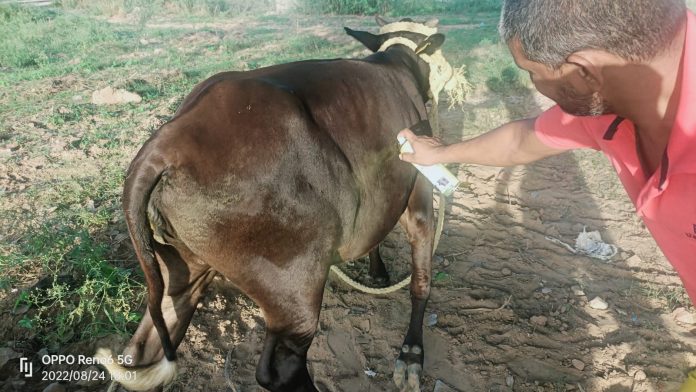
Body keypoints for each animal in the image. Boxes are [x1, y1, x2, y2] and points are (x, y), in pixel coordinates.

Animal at [96, 16, 456, 392]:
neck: (394, 64)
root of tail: (164, 146)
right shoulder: (419, 192)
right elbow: (421, 281)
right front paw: (412, 354)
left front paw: (378, 271)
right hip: (295, 287)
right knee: (280, 369)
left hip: (181, 270)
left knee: (143, 347)